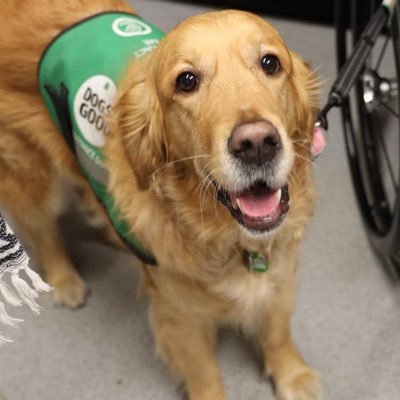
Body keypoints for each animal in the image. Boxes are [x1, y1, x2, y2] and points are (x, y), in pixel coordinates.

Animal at [0, 0, 318, 400]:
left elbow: (277, 331)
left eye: (270, 63)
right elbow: (204, 374)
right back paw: (64, 280)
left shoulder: (281, 273)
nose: (257, 143)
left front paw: (292, 375)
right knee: (42, 228)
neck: (232, 240)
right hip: (29, 167)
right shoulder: (180, 315)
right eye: (187, 81)